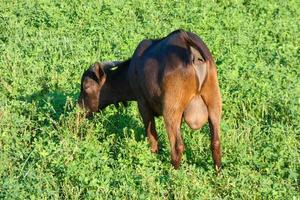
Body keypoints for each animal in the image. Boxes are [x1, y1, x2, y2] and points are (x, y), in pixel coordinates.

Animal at [78, 29, 221, 172]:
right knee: (215, 142)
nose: (79, 109)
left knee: (177, 146)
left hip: (171, 110)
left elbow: (151, 136)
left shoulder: (143, 104)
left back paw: (172, 172)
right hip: (214, 103)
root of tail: (187, 43)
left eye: (86, 86)